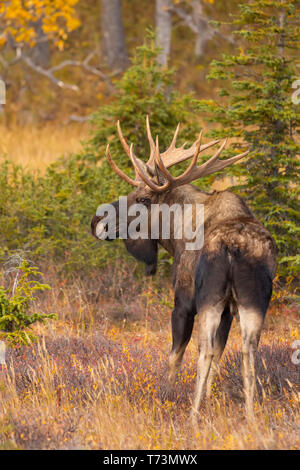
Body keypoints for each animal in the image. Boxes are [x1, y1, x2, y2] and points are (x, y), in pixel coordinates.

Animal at [91, 118, 276, 418]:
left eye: (143, 198)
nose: (97, 220)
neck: (174, 234)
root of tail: (233, 247)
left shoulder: (183, 302)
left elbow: (174, 356)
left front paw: (166, 396)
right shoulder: (228, 309)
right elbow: (220, 355)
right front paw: (210, 399)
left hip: (209, 299)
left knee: (205, 351)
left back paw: (193, 415)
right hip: (254, 301)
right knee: (248, 350)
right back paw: (250, 415)